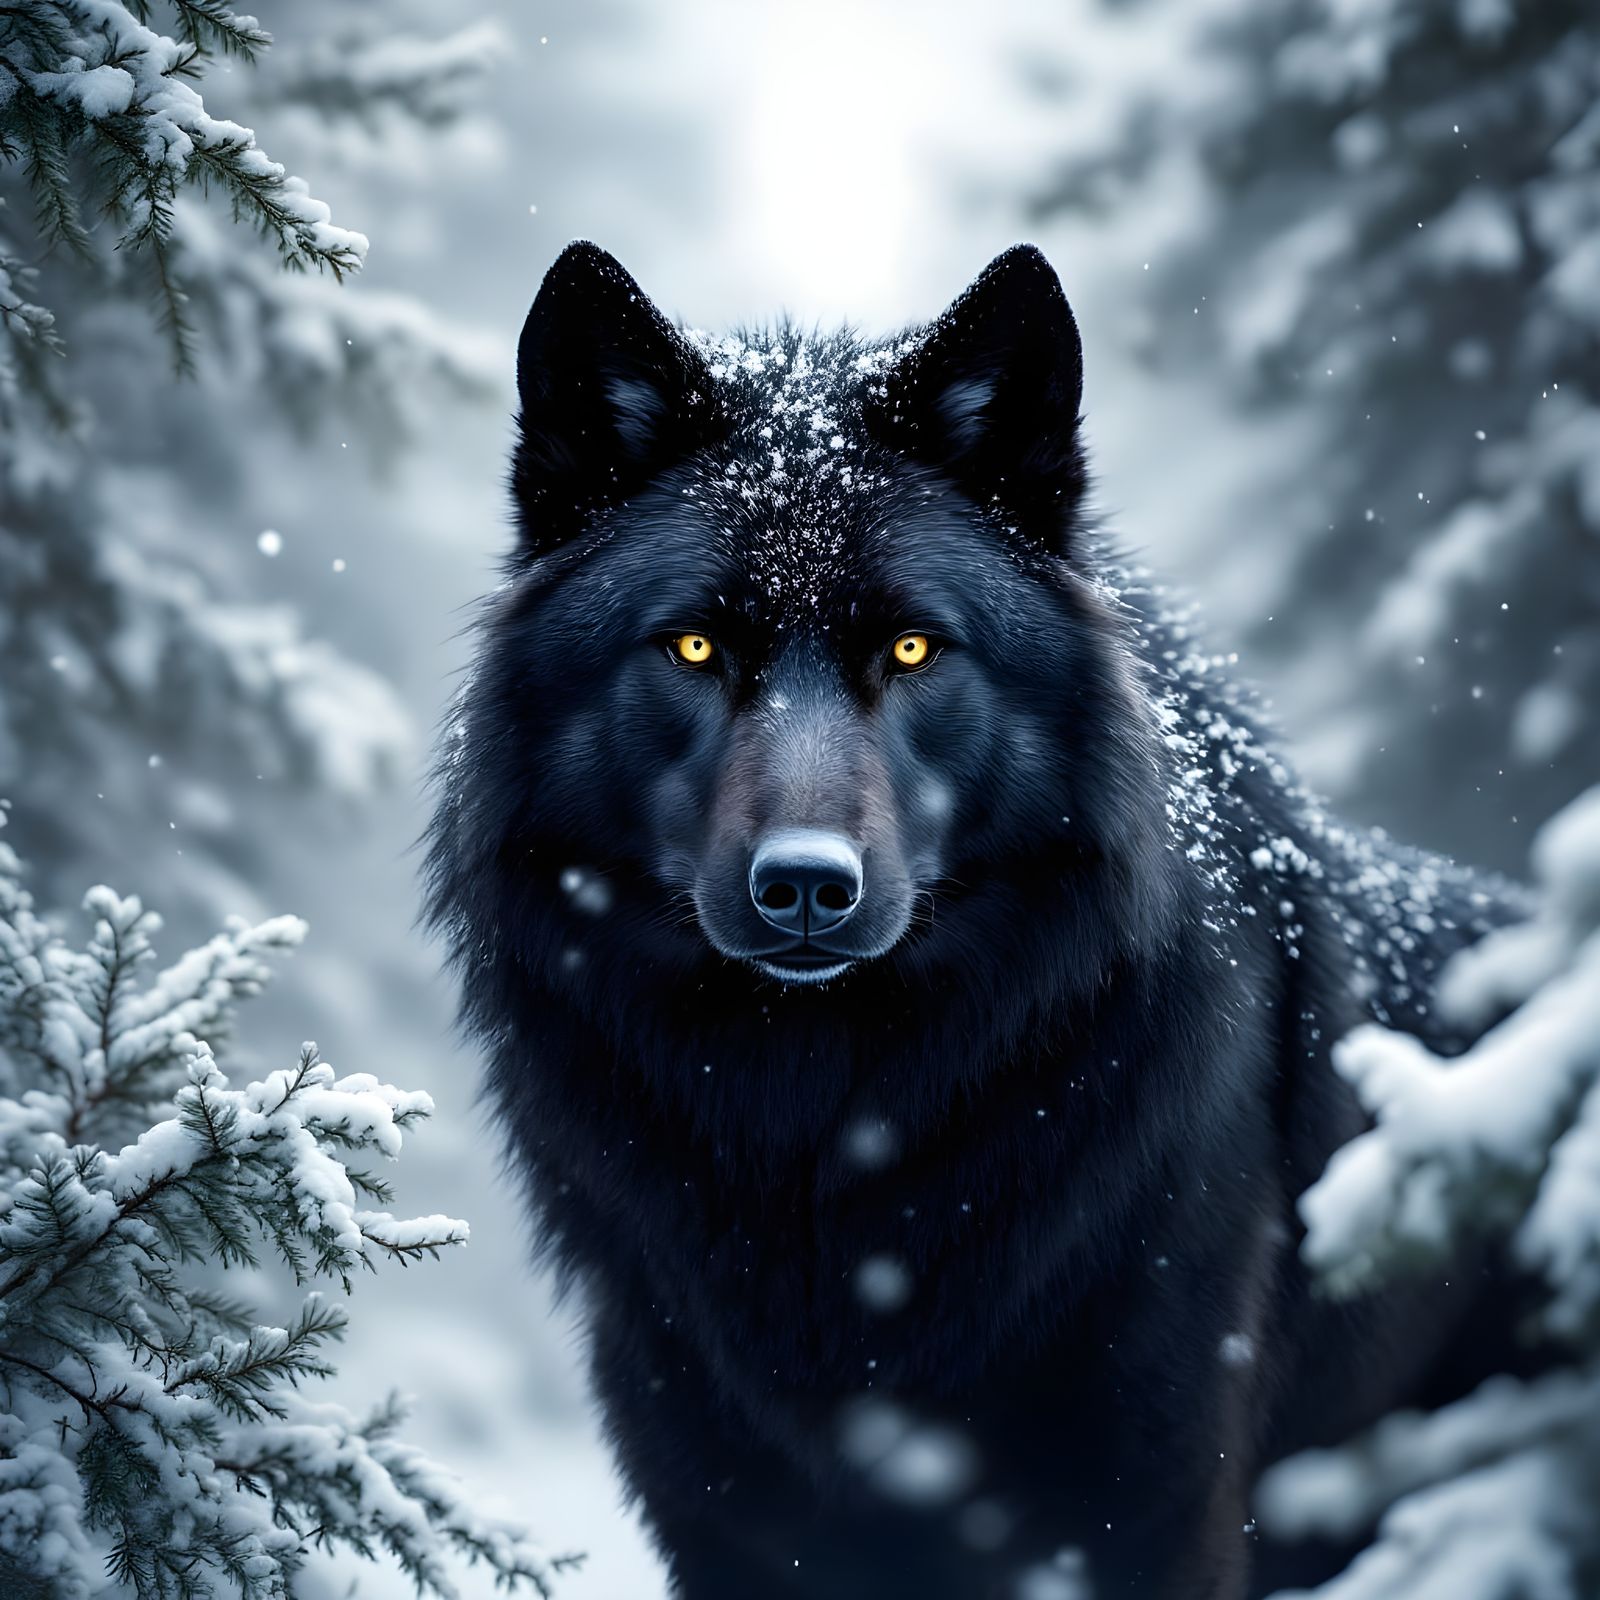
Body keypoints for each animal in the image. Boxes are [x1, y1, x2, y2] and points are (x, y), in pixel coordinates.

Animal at [425, 242, 1527, 1599]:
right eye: (691, 646)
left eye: (912, 648)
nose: (806, 885)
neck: (825, 1148)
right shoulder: (729, 1514)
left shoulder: (1150, 1512)